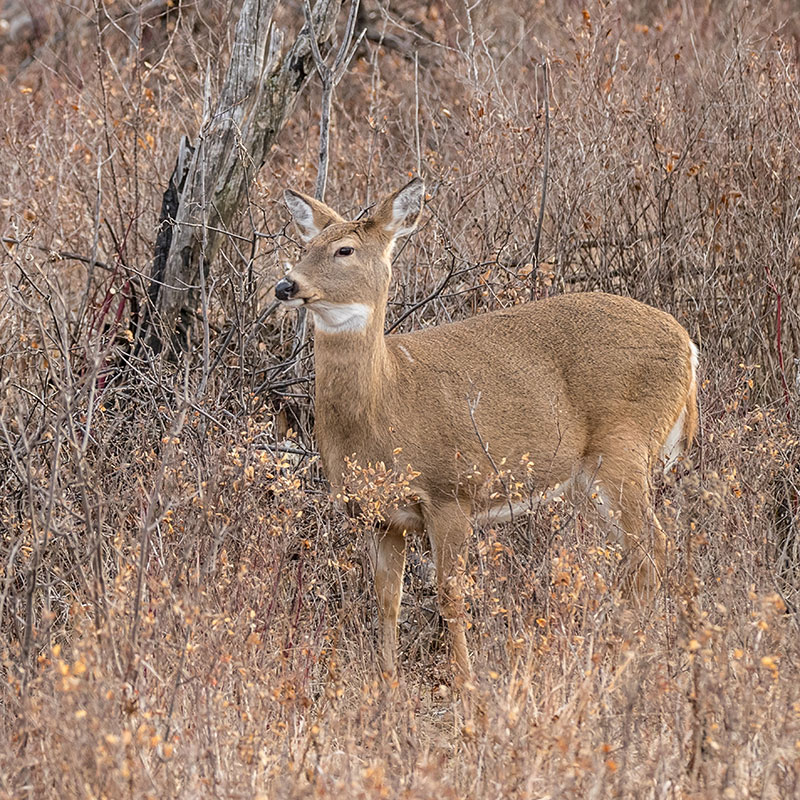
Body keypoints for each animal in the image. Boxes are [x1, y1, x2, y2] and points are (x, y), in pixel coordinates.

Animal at [276, 178, 700, 684]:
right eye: (304, 246)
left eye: (345, 249)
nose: (286, 285)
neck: (387, 404)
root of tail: (688, 345)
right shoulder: (378, 514)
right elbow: (387, 600)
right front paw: (388, 684)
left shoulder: (450, 492)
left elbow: (450, 595)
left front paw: (466, 684)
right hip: (591, 476)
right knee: (634, 551)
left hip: (625, 448)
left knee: (653, 544)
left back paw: (632, 650)